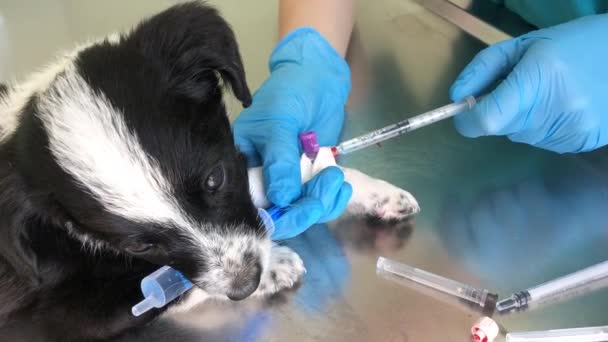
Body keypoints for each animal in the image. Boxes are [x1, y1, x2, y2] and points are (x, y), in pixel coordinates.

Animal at [0, 2, 418, 340]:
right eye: (139, 246)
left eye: (215, 180)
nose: (245, 285)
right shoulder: (63, 317)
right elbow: (164, 291)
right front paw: (275, 265)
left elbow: (264, 179)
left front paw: (354, 184)